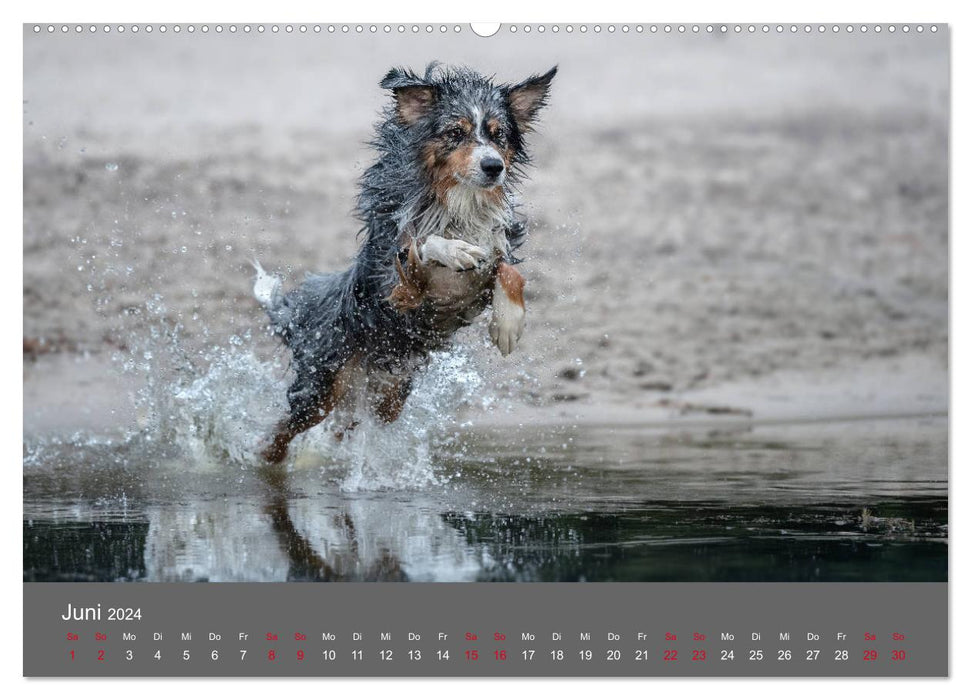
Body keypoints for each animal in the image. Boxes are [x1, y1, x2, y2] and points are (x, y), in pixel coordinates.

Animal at [254, 63, 560, 462]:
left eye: (499, 135)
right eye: (455, 132)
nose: (493, 166)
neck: (458, 206)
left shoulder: (492, 253)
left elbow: (508, 270)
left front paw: (509, 323)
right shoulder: (398, 286)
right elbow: (421, 243)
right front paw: (454, 251)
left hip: (387, 395)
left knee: (345, 427)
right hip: (319, 388)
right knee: (277, 437)